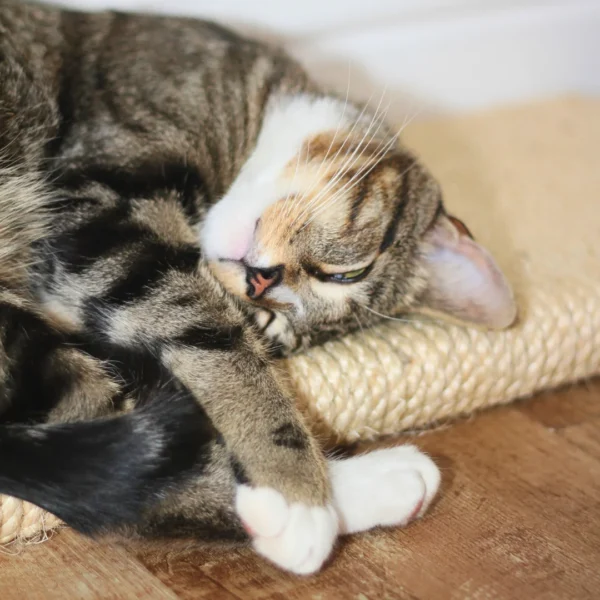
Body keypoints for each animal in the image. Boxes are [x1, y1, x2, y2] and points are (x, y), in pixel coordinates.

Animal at [0, 0, 516, 576]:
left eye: (264, 316)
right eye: (347, 273)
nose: (259, 279)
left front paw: (302, 496)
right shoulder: (98, 199)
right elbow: (224, 351)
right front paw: (296, 491)